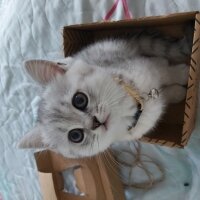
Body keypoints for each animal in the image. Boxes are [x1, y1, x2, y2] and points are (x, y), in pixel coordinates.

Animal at [19, 29, 192, 158]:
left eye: (79, 100)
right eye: (75, 136)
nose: (95, 122)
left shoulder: (147, 65)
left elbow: (165, 72)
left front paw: (182, 75)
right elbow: (164, 91)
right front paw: (178, 91)